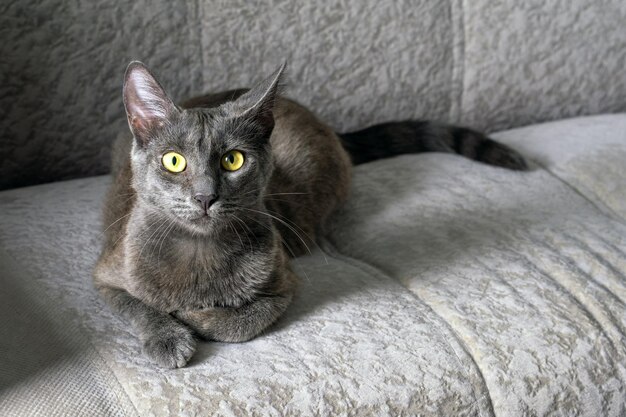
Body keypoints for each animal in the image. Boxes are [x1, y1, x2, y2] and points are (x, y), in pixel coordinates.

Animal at [94, 61, 528, 368]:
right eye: (174, 160)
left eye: (233, 160)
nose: (205, 196)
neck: (200, 251)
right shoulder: (107, 274)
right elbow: (138, 306)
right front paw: (168, 337)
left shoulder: (283, 282)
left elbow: (242, 323)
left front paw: (196, 318)